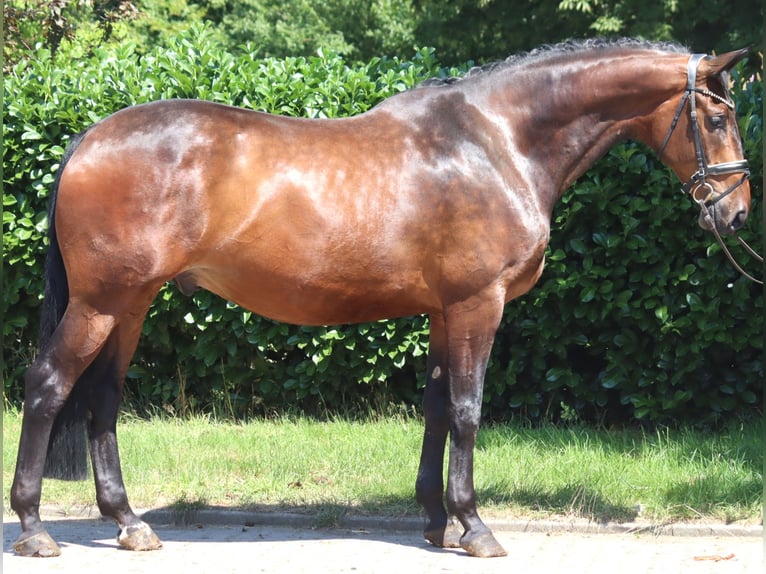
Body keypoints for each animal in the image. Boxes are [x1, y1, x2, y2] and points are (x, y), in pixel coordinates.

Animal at [11, 39, 752, 558]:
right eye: (717, 116)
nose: (738, 212)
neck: (497, 142)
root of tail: (88, 138)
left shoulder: (443, 310)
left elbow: (436, 408)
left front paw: (437, 521)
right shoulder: (478, 304)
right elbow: (468, 409)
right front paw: (475, 525)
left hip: (132, 303)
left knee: (102, 399)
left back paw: (129, 523)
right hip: (102, 302)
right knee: (48, 385)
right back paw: (34, 526)